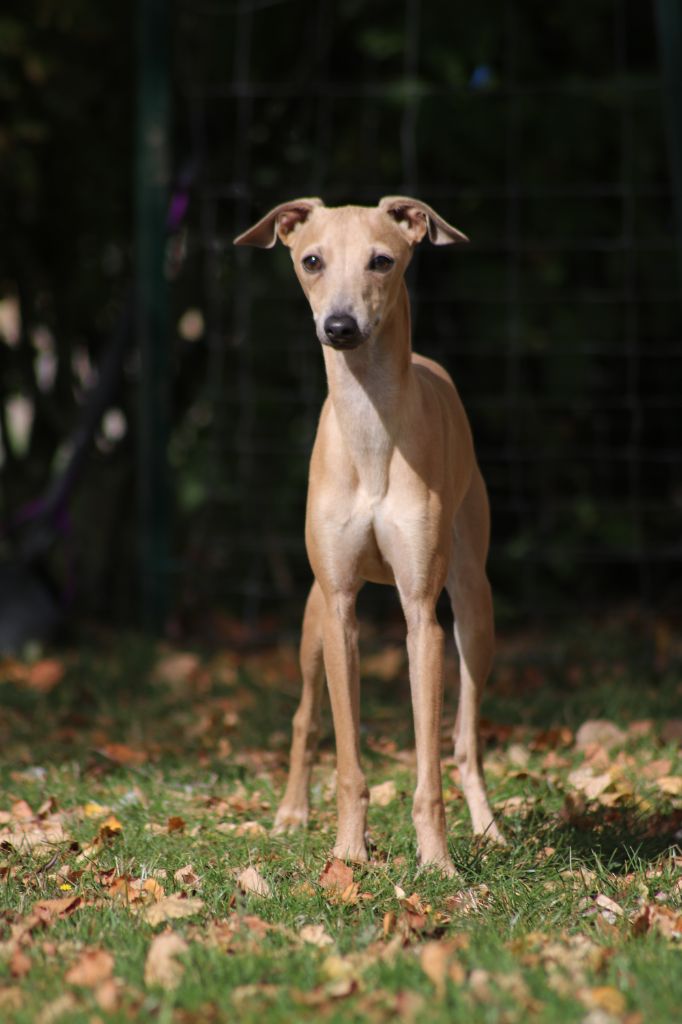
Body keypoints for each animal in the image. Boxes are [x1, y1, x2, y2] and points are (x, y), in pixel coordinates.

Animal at [233, 197, 499, 872]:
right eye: (311, 260)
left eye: (382, 260)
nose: (340, 326)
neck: (372, 430)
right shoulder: (339, 606)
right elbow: (348, 756)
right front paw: (349, 853)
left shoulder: (422, 615)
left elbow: (430, 761)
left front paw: (437, 862)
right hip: (310, 619)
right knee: (305, 719)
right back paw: (291, 813)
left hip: (473, 607)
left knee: (466, 738)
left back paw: (489, 828)